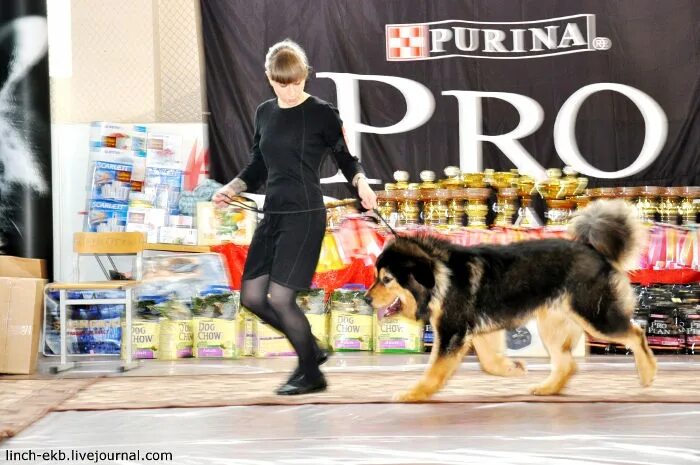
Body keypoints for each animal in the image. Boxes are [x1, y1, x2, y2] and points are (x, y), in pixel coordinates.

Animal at [366, 198, 656, 400]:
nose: (366, 300)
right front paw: (512, 368)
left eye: (387, 279)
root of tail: (596, 251)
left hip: (595, 317)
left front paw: (413, 394)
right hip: (553, 325)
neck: (439, 275)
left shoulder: (452, 332)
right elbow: (490, 362)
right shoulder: (476, 330)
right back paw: (547, 389)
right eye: (376, 276)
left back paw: (648, 373)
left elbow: (434, 371)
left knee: (636, 333)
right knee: (567, 364)